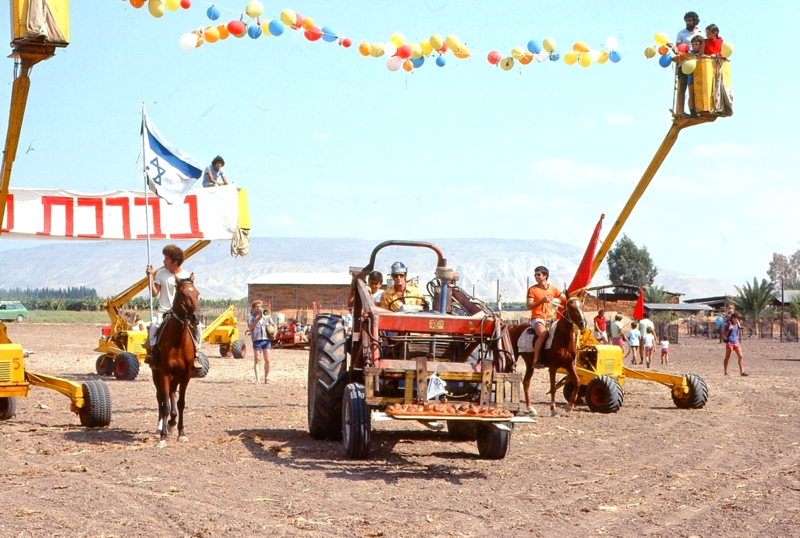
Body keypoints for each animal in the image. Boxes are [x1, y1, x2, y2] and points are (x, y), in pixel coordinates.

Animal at [151, 274, 200, 446]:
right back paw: (161, 426)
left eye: (197, 293)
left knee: (172, 392)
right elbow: (165, 404)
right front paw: (162, 437)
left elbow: (181, 403)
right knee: (160, 397)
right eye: (182, 294)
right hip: (156, 374)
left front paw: (181, 433)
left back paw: (172, 422)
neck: (178, 341)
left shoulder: (185, 375)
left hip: (176, 376)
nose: (196, 317)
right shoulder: (164, 373)